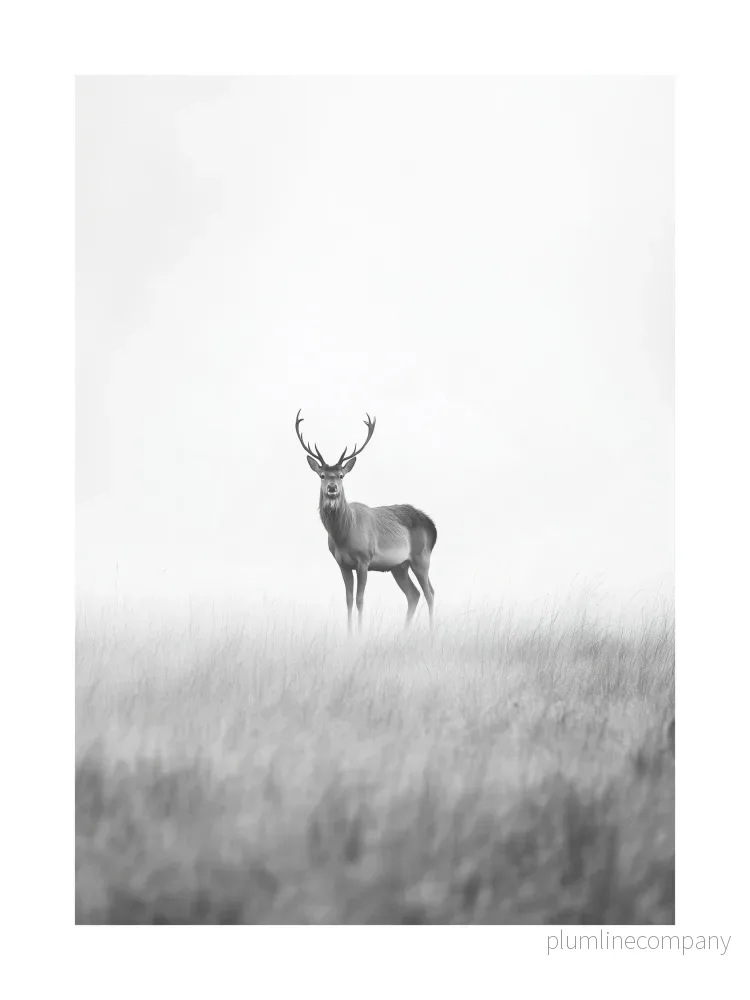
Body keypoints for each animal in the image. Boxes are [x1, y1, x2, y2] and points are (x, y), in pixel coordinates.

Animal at [295, 410, 437, 633]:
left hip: (421, 557)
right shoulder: (342, 564)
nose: (332, 488)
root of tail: (432, 526)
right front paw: (349, 633)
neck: (344, 536)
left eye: (341, 475)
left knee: (430, 592)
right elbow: (348, 599)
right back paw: (405, 632)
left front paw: (360, 633)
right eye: (322, 475)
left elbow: (360, 599)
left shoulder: (364, 559)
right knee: (413, 594)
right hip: (399, 566)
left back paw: (431, 632)